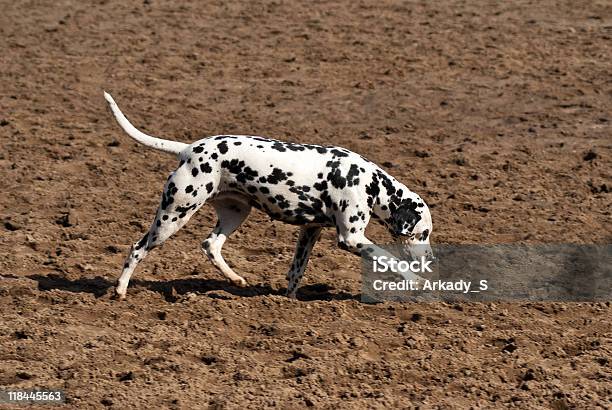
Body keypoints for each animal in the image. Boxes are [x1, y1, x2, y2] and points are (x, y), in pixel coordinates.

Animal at [103, 92, 432, 298]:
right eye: (423, 232)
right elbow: (391, 259)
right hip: (173, 215)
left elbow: (296, 271)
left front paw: (288, 301)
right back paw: (120, 289)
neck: (368, 182)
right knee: (137, 248)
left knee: (211, 245)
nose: (430, 257)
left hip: (235, 213)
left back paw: (235, 279)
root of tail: (188, 150)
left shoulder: (310, 230)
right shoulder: (352, 239)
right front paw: (417, 280)